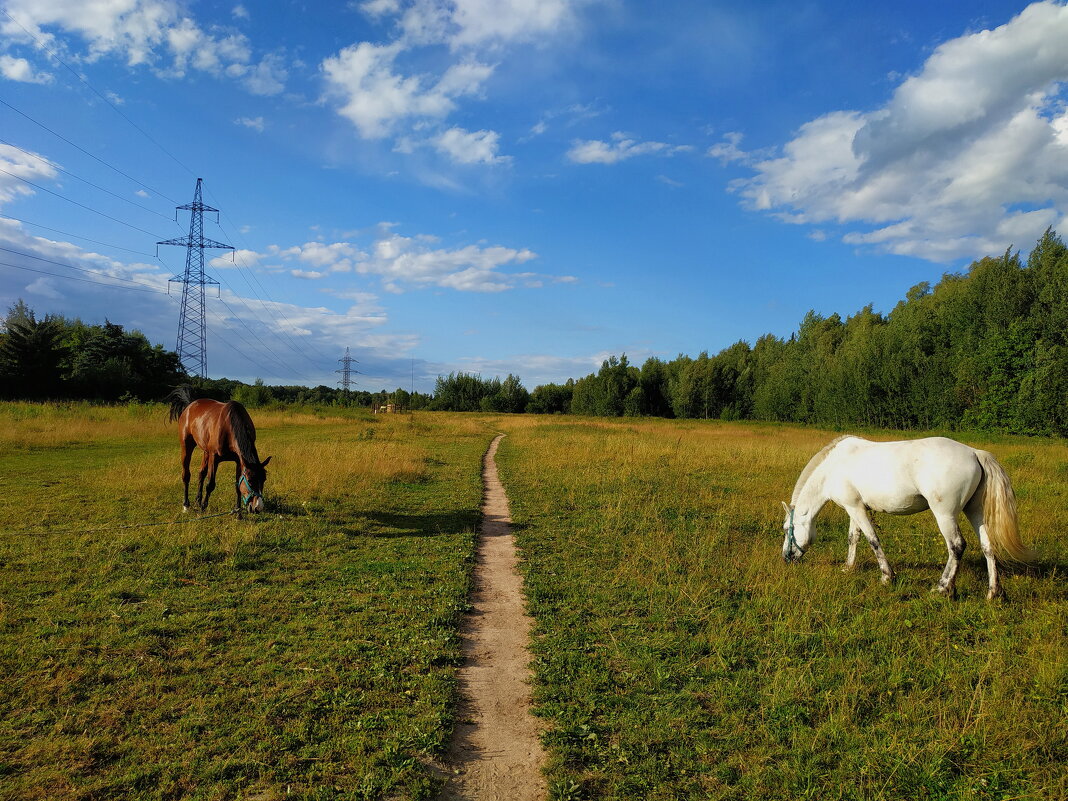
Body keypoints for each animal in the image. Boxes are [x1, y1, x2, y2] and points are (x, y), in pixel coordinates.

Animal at [165, 386, 271, 514]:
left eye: (264, 479)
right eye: (250, 480)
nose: (257, 508)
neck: (229, 426)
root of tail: (190, 405)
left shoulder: (238, 460)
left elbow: (237, 485)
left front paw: (237, 509)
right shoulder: (214, 458)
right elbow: (210, 484)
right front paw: (203, 507)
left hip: (206, 452)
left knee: (201, 473)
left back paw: (198, 500)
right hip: (187, 447)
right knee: (186, 475)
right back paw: (186, 505)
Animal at [786, 440, 1025, 602]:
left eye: (788, 528)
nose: (786, 557)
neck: (833, 468)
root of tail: (975, 453)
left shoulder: (855, 508)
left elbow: (872, 540)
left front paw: (887, 577)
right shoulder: (854, 507)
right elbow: (853, 537)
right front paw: (848, 567)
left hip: (945, 515)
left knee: (956, 546)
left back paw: (943, 587)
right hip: (975, 512)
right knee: (988, 547)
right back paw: (994, 592)